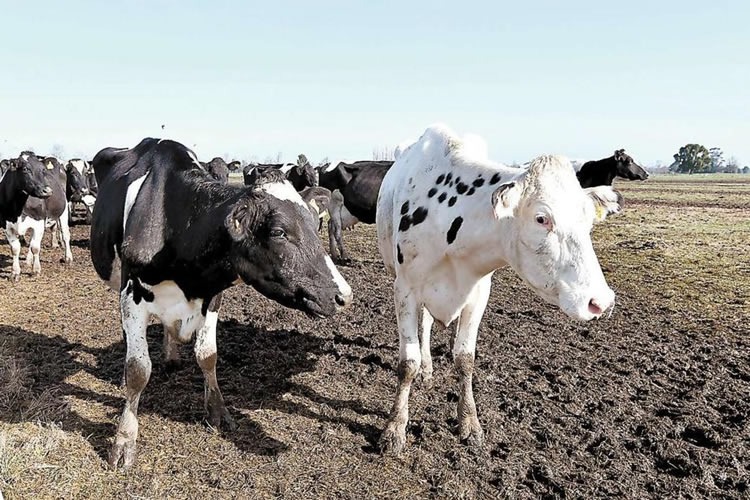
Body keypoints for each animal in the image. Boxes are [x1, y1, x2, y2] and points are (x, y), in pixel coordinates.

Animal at [89, 139, 354, 470]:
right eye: (279, 232)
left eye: (314, 223)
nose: (343, 295)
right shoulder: (132, 292)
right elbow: (138, 369)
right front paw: (124, 440)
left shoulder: (212, 293)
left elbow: (208, 356)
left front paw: (217, 411)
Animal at [376, 125, 624, 454]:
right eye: (541, 218)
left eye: (587, 219)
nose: (600, 302)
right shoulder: (404, 289)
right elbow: (408, 363)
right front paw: (394, 428)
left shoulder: (479, 294)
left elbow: (464, 359)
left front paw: (470, 423)